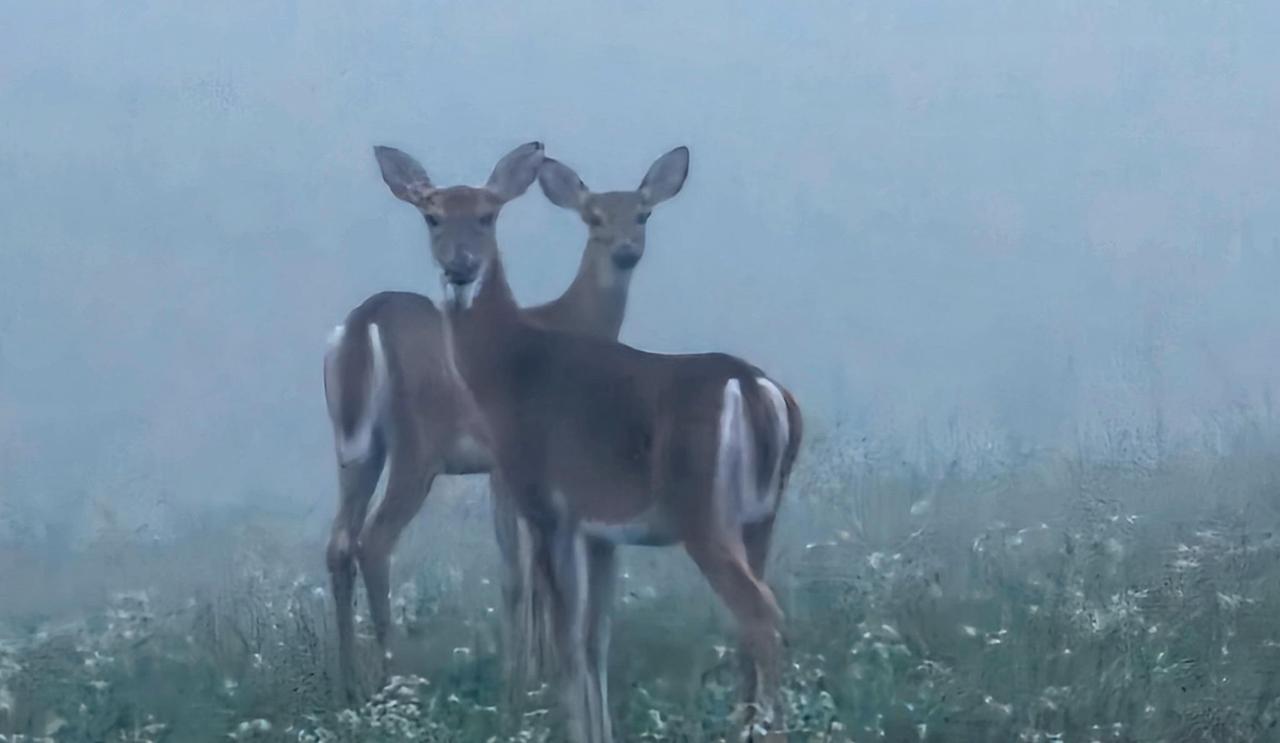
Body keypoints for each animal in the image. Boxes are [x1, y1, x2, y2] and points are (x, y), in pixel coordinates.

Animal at [323, 141, 690, 703]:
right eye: (593, 217)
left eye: (643, 213)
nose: (627, 250)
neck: (569, 323)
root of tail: (365, 322)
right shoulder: (516, 462)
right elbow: (526, 573)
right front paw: (530, 673)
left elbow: (517, 570)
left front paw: (527, 666)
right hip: (417, 445)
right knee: (375, 541)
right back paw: (391, 676)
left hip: (356, 448)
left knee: (339, 544)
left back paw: (348, 681)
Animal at [373, 141, 803, 743]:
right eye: (431, 215)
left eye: (488, 215)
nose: (460, 267)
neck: (510, 367)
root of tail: (757, 390)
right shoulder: (604, 532)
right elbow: (597, 642)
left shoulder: (548, 506)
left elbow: (567, 644)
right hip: (761, 518)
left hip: (704, 514)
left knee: (762, 616)